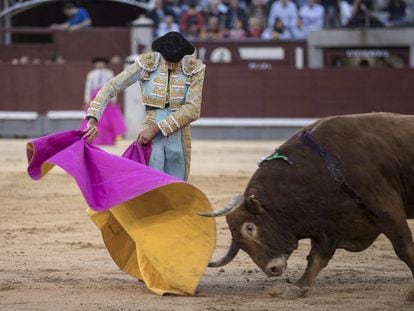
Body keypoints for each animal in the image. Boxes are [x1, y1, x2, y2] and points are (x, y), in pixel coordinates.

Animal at [201, 112, 414, 300]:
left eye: (250, 228)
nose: (272, 269)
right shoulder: (328, 226)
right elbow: (317, 258)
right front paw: (297, 288)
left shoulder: (386, 208)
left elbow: (404, 249)